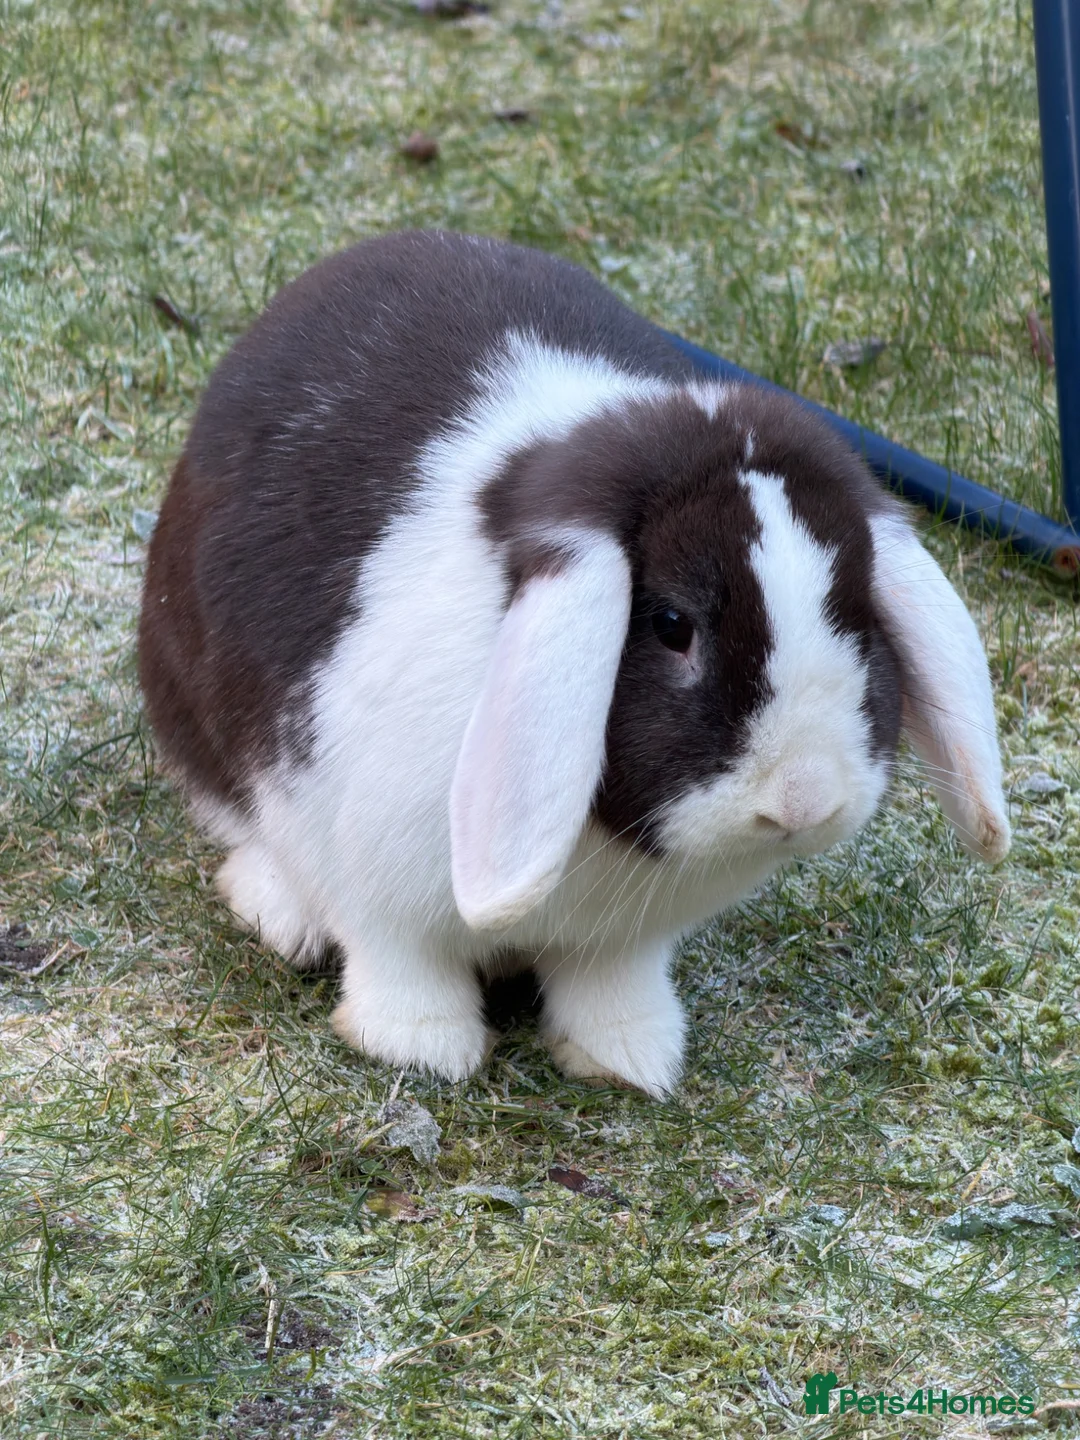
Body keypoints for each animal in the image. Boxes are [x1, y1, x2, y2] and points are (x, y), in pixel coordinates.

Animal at [138, 228, 1010, 1097]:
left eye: (859, 617)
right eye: (671, 624)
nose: (803, 801)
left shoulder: (623, 941)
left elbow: (610, 984)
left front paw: (629, 1058)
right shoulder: (372, 877)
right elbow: (400, 964)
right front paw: (423, 1050)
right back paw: (281, 913)